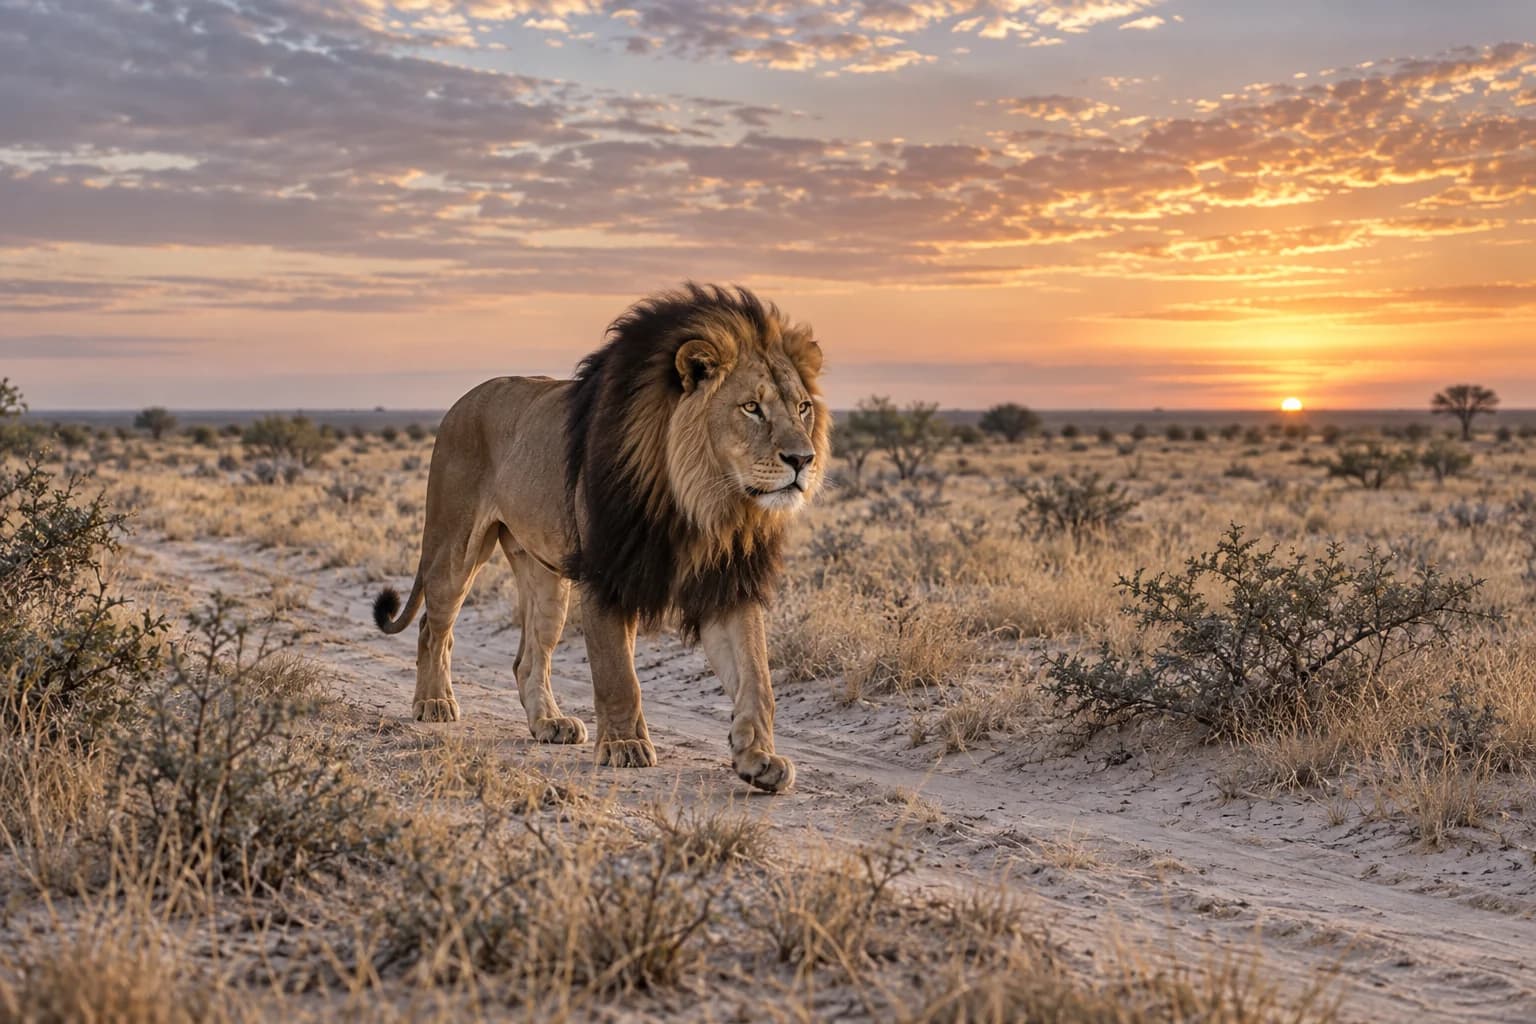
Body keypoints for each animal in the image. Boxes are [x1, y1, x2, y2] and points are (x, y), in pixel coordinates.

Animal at [372, 284, 828, 792]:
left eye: (803, 408)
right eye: (752, 407)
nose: (803, 460)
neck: (702, 501)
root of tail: (461, 401)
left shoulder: (726, 581)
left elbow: (757, 677)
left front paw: (759, 757)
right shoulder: (607, 572)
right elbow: (618, 674)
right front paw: (625, 745)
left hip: (545, 579)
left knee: (528, 657)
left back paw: (549, 722)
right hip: (455, 546)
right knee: (433, 628)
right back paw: (433, 703)